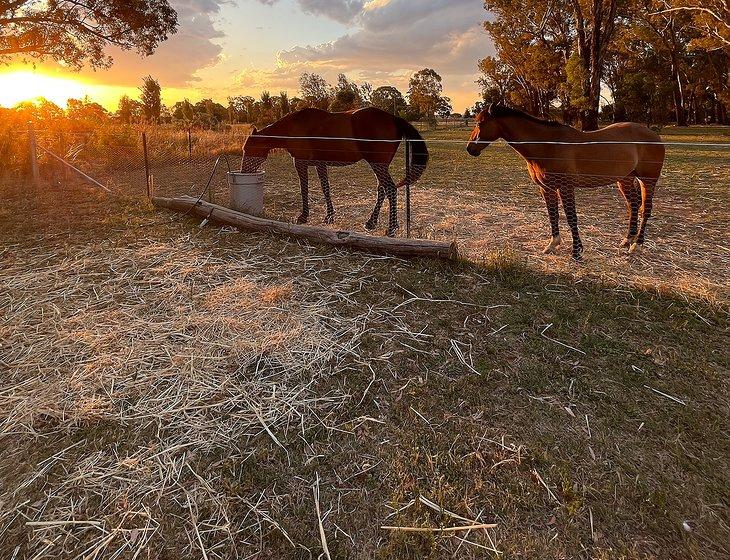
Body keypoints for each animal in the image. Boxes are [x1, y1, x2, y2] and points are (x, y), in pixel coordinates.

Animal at [242, 107, 430, 236]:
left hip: (377, 164)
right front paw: (329, 216)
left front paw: (303, 216)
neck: (293, 128)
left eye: (247, 149)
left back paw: (391, 228)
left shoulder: (300, 163)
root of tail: (393, 118)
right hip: (380, 165)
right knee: (382, 189)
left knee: (390, 189)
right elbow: (325, 188)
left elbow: (304, 188)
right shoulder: (320, 164)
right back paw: (371, 222)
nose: (244, 172)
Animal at [464, 105, 664, 260]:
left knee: (645, 209)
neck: (548, 145)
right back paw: (627, 240)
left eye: (480, 123)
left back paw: (637, 246)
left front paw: (576, 252)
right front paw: (553, 244)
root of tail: (654, 136)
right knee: (633, 206)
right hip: (625, 180)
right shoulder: (547, 188)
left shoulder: (566, 187)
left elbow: (571, 217)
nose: (470, 149)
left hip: (648, 181)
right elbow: (553, 214)